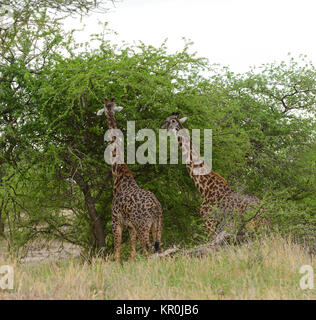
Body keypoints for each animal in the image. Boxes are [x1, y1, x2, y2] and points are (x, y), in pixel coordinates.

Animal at [97, 97, 163, 260]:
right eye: (107, 106)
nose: (108, 109)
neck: (120, 174)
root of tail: (156, 207)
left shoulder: (116, 221)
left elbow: (117, 252)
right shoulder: (131, 226)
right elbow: (132, 254)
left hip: (143, 226)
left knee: (149, 251)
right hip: (157, 226)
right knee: (159, 251)